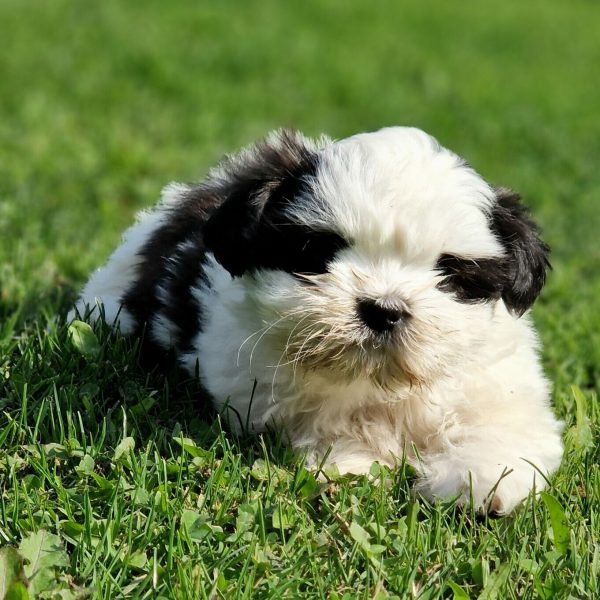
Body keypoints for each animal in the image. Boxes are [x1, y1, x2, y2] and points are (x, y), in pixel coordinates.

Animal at [70, 125, 564, 510]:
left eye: (448, 272)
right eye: (319, 252)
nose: (384, 308)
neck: (381, 382)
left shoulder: (498, 383)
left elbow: (505, 427)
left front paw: (482, 481)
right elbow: (333, 425)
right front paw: (356, 463)